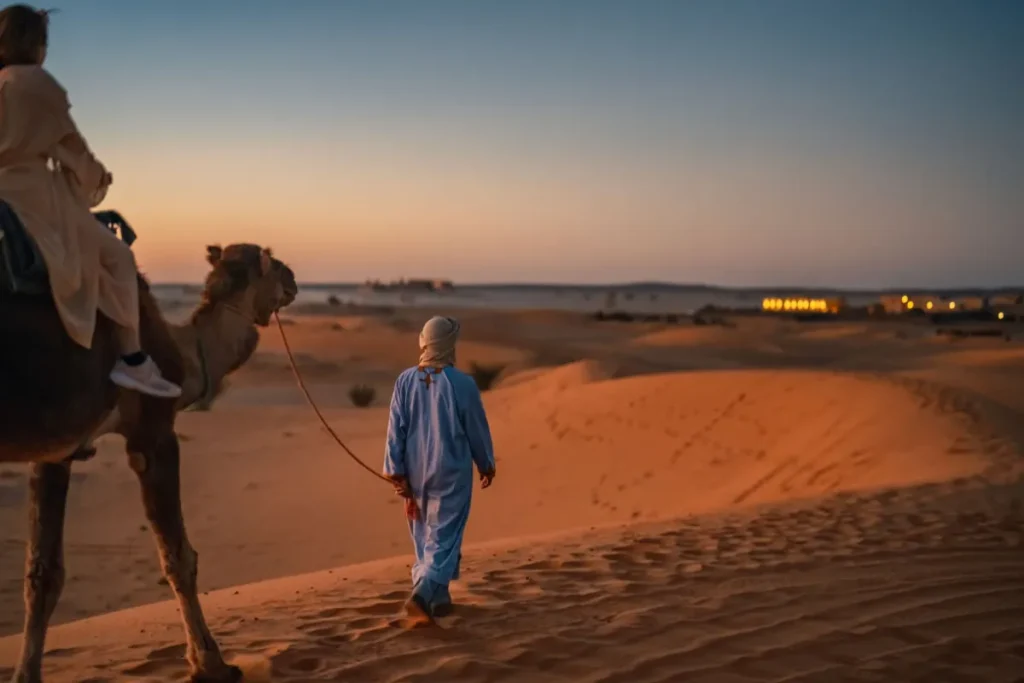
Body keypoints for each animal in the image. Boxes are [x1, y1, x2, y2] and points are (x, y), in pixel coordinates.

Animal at [0, 227, 299, 679]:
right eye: (271, 259)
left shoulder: (56, 449)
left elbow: (42, 573)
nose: (294, 278)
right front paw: (211, 664)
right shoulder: (152, 432)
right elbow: (178, 558)